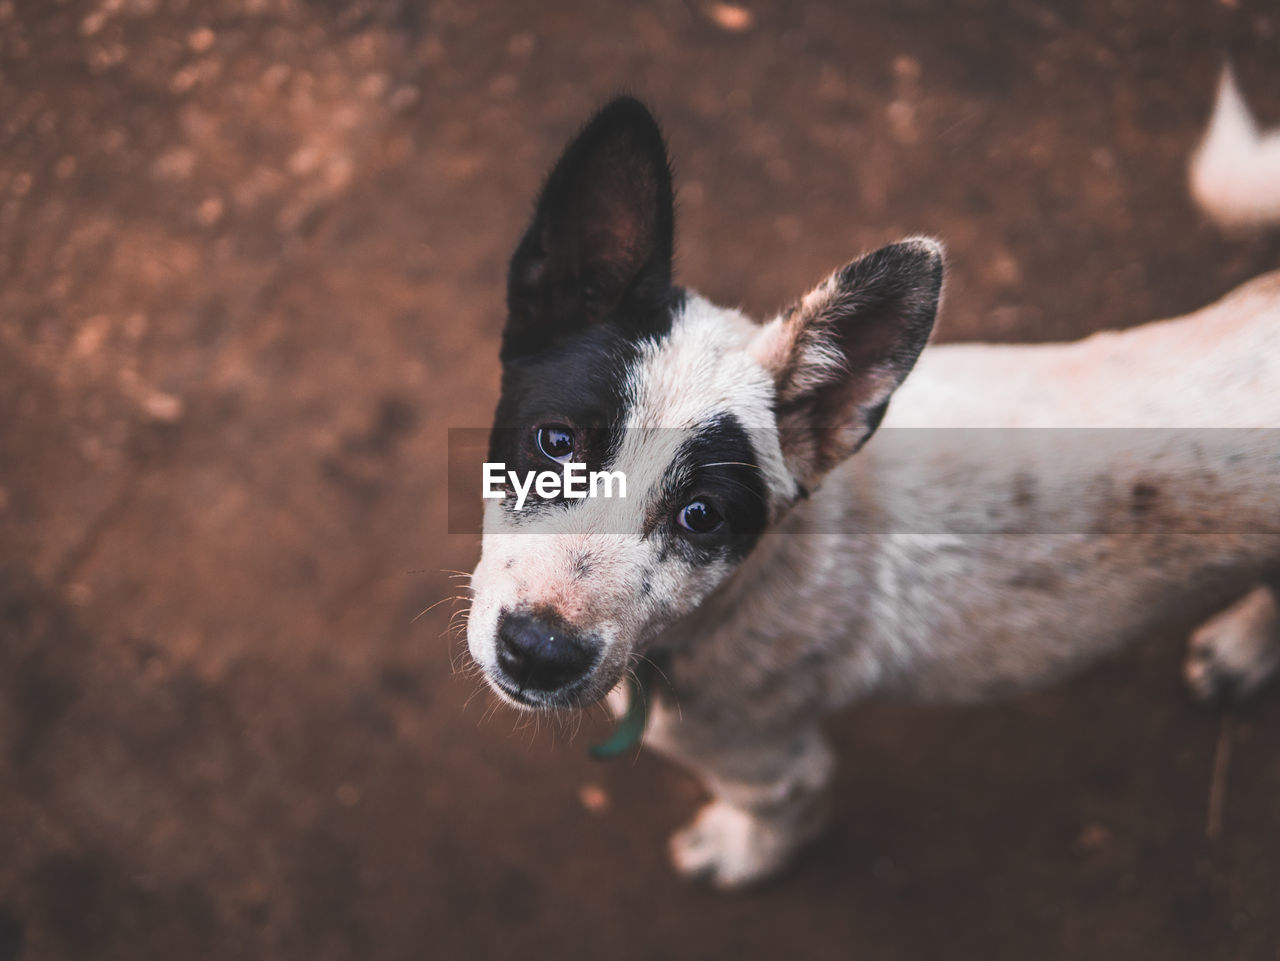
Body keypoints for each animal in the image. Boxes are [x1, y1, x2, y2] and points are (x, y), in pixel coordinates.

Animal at [468, 71, 1280, 890]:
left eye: (702, 515)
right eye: (556, 441)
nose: (539, 652)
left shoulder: (771, 763)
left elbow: (779, 822)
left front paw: (741, 854)